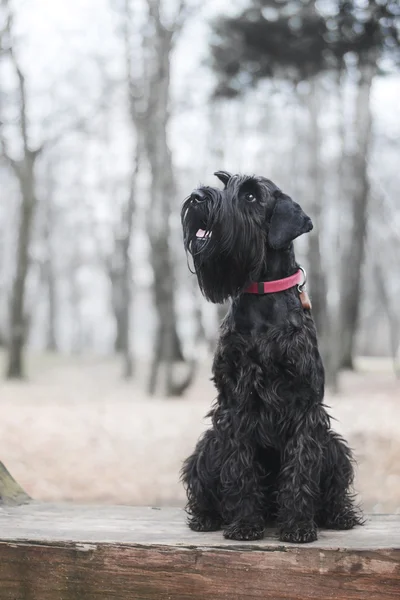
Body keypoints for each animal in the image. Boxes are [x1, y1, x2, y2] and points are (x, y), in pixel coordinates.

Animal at [181, 170, 362, 544]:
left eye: (250, 196)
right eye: (222, 182)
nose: (198, 197)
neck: (261, 296)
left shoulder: (305, 407)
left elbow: (300, 469)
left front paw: (298, 526)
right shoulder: (233, 405)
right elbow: (239, 466)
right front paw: (245, 524)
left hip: (333, 446)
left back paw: (339, 515)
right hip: (208, 444)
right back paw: (208, 518)